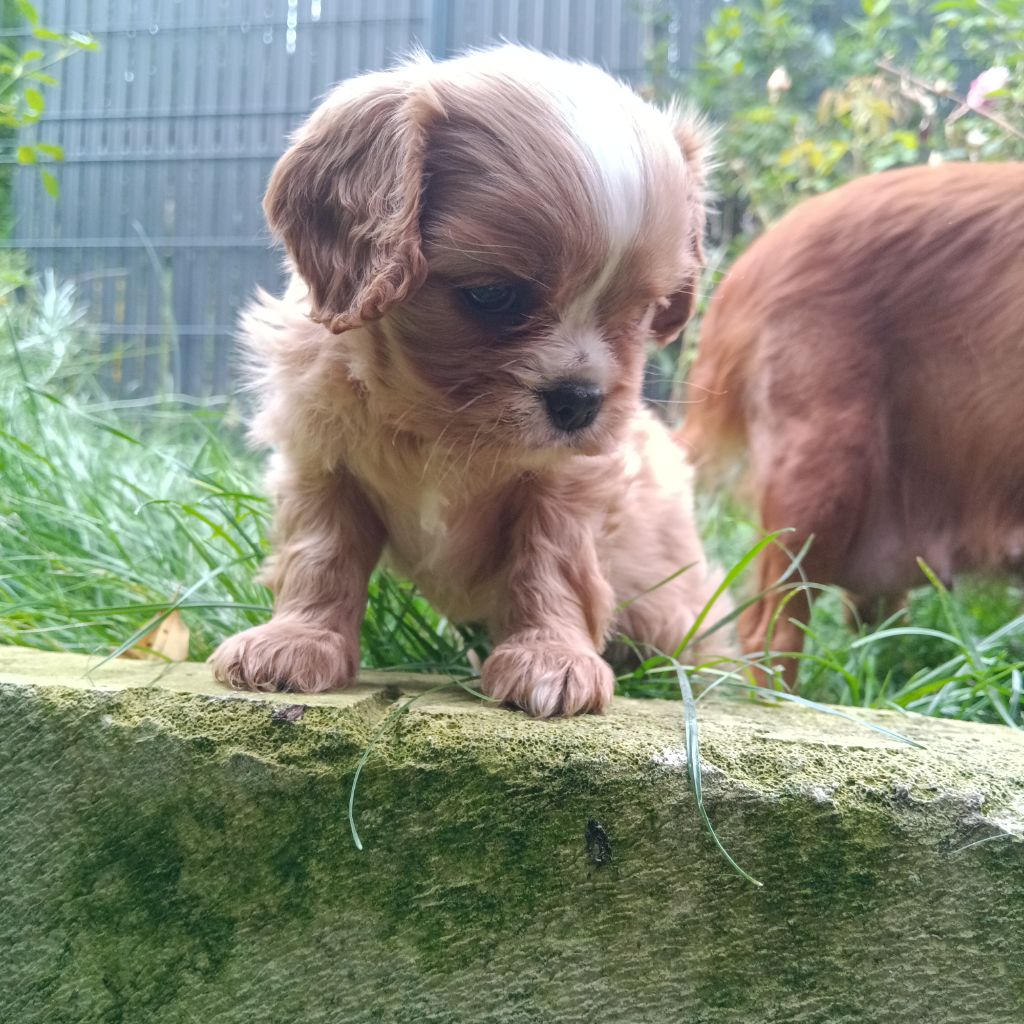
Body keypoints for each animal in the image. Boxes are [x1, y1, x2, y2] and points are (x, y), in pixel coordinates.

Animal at [209, 44, 729, 716]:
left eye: (642, 312)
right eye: (493, 295)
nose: (581, 402)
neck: (438, 423)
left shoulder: (569, 484)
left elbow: (551, 564)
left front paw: (551, 659)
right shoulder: (321, 461)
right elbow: (319, 554)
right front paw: (296, 641)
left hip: (676, 604)